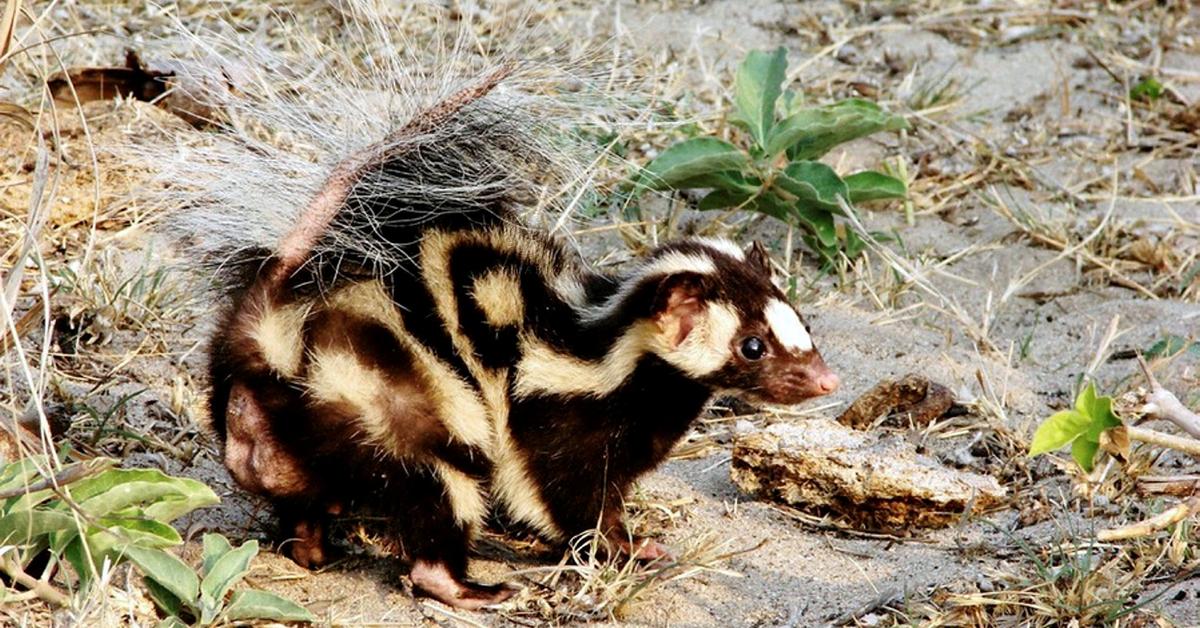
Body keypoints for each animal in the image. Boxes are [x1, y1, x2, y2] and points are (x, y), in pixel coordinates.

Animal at [145, 2, 840, 612]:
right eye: (752, 345)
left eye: (801, 325)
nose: (825, 379)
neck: (610, 352)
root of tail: (270, 329)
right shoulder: (551, 411)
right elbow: (559, 494)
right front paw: (624, 548)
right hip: (400, 406)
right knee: (438, 485)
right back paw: (466, 588)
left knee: (298, 489)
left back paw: (313, 546)